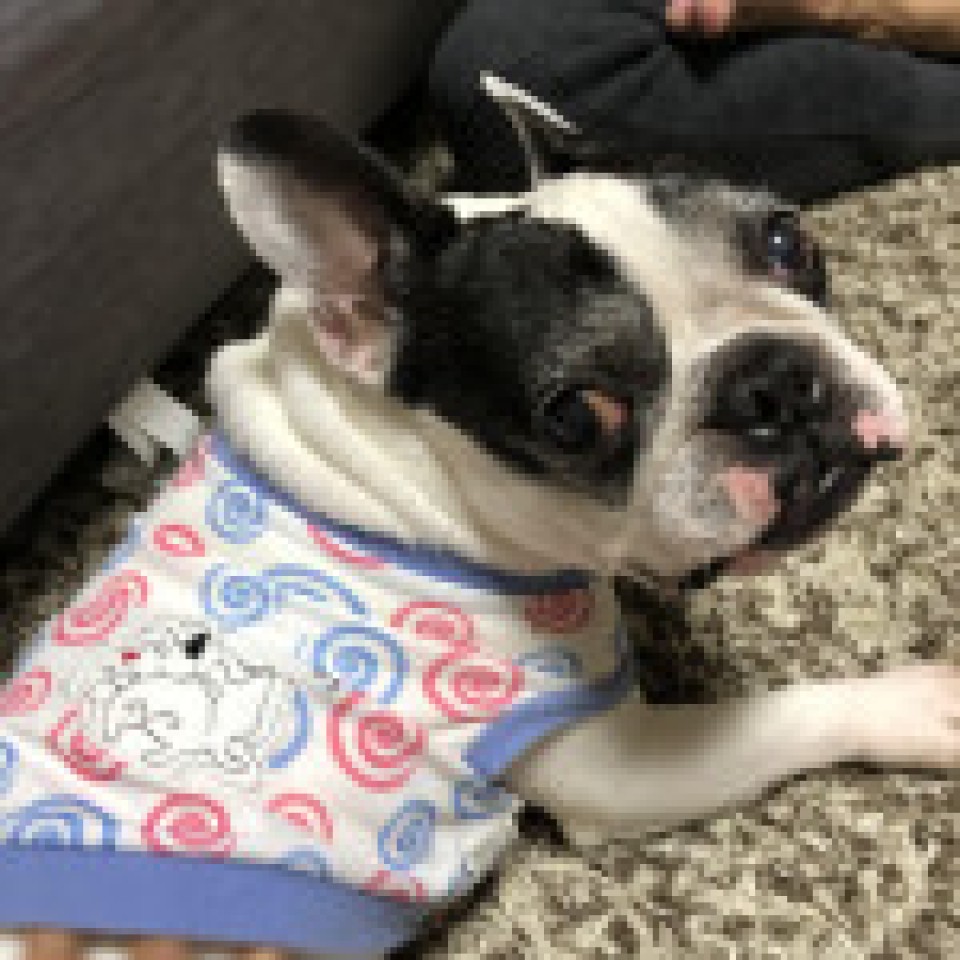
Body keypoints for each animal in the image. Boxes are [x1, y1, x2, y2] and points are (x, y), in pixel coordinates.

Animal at [0, 76, 956, 960]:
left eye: (790, 240)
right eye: (577, 416)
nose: (776, 385)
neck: (397, 468)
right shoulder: (618, 763)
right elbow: (780, 716)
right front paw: (920, 705)